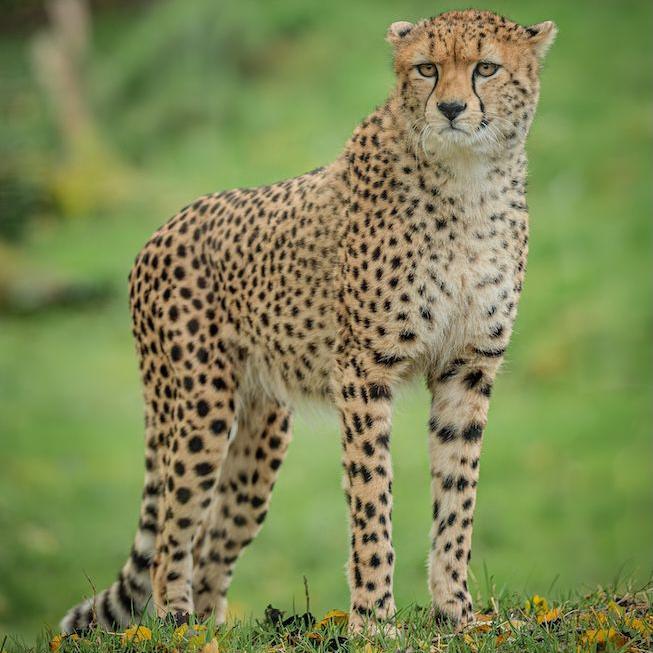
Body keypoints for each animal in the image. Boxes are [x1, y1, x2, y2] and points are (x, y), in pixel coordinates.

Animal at [61, 9, 556, 635]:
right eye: (426, 68)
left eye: (485, 68)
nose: (448, 109)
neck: (468, 180)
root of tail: (163, 228)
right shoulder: (365, 369)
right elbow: (372, 497)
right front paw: (373, 621)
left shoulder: (468, 367)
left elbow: (457, 496)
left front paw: (457, 613)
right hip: (200, 406)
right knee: (174, 527)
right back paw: (179, 626)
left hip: (261, 433)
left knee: (215, 539)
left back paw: (214, 630)